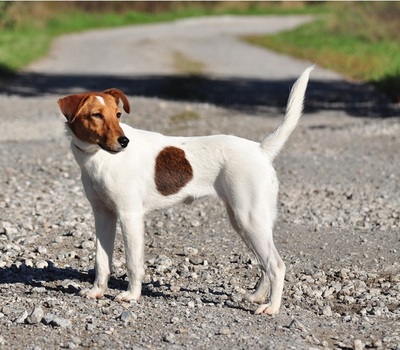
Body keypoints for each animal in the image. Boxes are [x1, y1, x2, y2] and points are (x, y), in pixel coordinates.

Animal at [57, 65, 312, 314]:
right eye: (96, 115)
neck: (100, 157)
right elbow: (101, 260)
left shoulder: (130, 216)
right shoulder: (103, 215)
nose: (124, 141)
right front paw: (97, 291)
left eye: (118, 115)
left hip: (250, 219)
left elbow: (133, 263)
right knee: (265, 263)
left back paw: (272, 307)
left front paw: (131, 295)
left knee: (276, 265)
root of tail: (260, 149)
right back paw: (258, 296)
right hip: (245, 223)